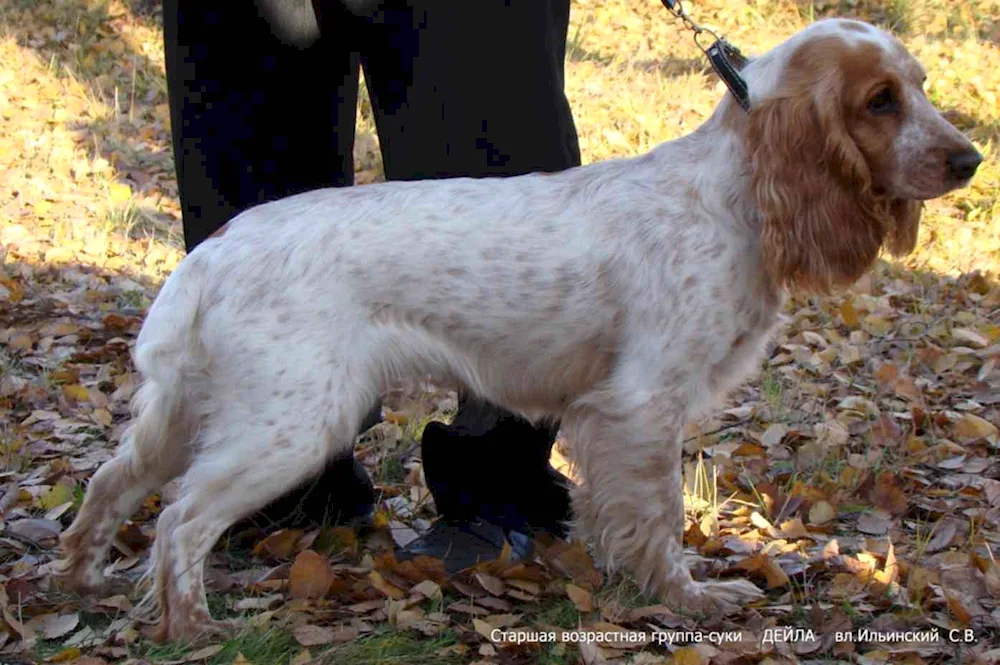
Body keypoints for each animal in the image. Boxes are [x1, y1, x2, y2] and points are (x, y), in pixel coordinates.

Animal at [52, 18, 976, 640]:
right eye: (880, 101)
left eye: (923, 86)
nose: (969, 158)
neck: (735, 195)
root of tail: (216, 248)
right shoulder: (641, 405)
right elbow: (660, 517)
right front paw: (690, 598)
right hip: (291, 423)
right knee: (179, 519)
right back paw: (192, 628)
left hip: (201, 413)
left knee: (108, 488)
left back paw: (83, 581)